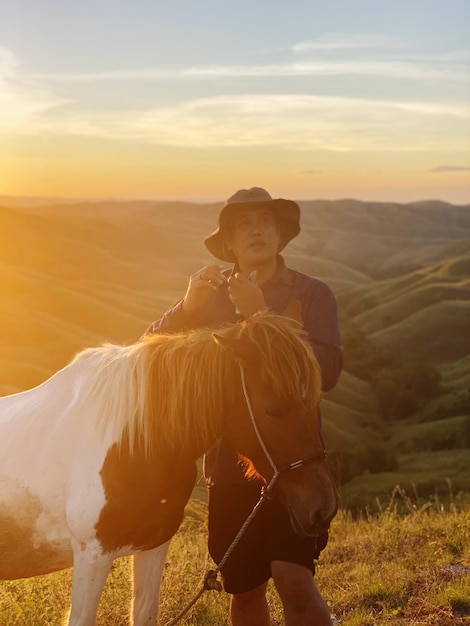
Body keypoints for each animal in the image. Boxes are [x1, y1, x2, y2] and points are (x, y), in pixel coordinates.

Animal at [0, 312, 338, 624]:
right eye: (273, 409)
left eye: (315, 402)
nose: (323, 508)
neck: (133, 441)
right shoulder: (92, 554)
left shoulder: (153, 546)